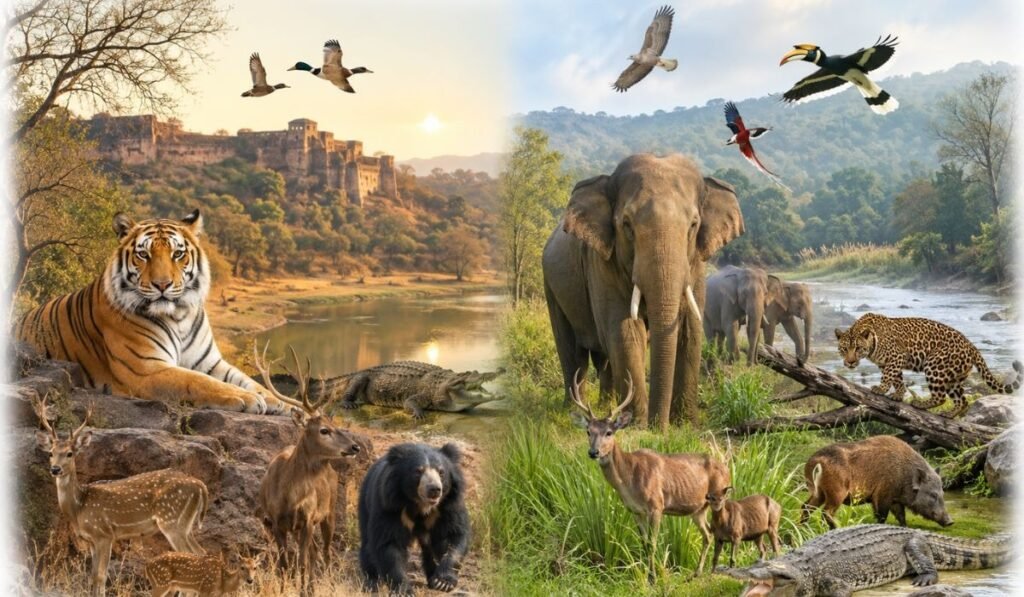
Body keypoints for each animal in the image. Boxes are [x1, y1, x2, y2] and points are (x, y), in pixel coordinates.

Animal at [32, 395, 209, 596]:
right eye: (51, 453)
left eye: (70, 453)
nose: (55, 469)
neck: (79, 507)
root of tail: (201, 486)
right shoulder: (91, 540)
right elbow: (93, 576)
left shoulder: (104, 533)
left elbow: (101, 576)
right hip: (186, 524)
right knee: (201, 553)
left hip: (172, 520)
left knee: (193, 555)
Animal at [252, 343, 362, 596]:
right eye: (324, 430)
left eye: (334, 425)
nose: (355, 446)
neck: (289, 496)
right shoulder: (276, 522)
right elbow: (284, 563)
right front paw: (286, 589)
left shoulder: (308, 519)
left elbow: (301, 561)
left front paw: (303, 590)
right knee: (314, 553)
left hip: (329, 512)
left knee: (325, 551)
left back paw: (326, 583)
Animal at [358, 442, 470, 595]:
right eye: (418, 471)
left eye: (441, 472)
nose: (434, 489)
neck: (420, 505)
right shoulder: (390, 505)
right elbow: (389, 544)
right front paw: (404, 590)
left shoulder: (448, 506)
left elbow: (453, 536)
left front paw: (443, 582)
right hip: (365, 502)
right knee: (367, 544)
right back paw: (372, 582)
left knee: (428, 548)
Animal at [542, 153, 744, 430]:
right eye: (627, 225)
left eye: (693, 225)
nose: (659, 428)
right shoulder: (601, 263)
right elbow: (626, 331)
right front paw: (636, 426)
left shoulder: (696, 267)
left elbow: (690, 330)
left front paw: (685, 425)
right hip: (551, 287)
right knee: (573, 354)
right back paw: (571, 410)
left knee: (602, 358)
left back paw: (606, 406)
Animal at [568, 371, 730, 578]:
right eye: (588, 431)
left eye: (609, 432)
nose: (593, 452)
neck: (629, 481)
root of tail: (727, 468)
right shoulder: (635, 510)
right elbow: (644, 544)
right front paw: (647, 575)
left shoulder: (657, 505)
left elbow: (652, 544)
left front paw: (653, 577)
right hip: (698, 509)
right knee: (708, 534)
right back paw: (696, 572)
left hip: (719, 498)